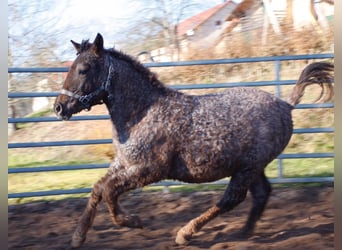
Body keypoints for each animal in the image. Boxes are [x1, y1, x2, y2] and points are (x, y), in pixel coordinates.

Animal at [54, 33, 334, 248]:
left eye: (83, 69)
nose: (59, 107)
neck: (143, 112)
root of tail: (286, 105)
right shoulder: (124, 163)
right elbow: (98, 188)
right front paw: (78, 237)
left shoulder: (149, 170)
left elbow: (109, 191)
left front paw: (133, 221)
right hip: (252, 167)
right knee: (261, 194)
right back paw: (244, 233)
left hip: (247, 169)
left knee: (231, 199)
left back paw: (185, 234)